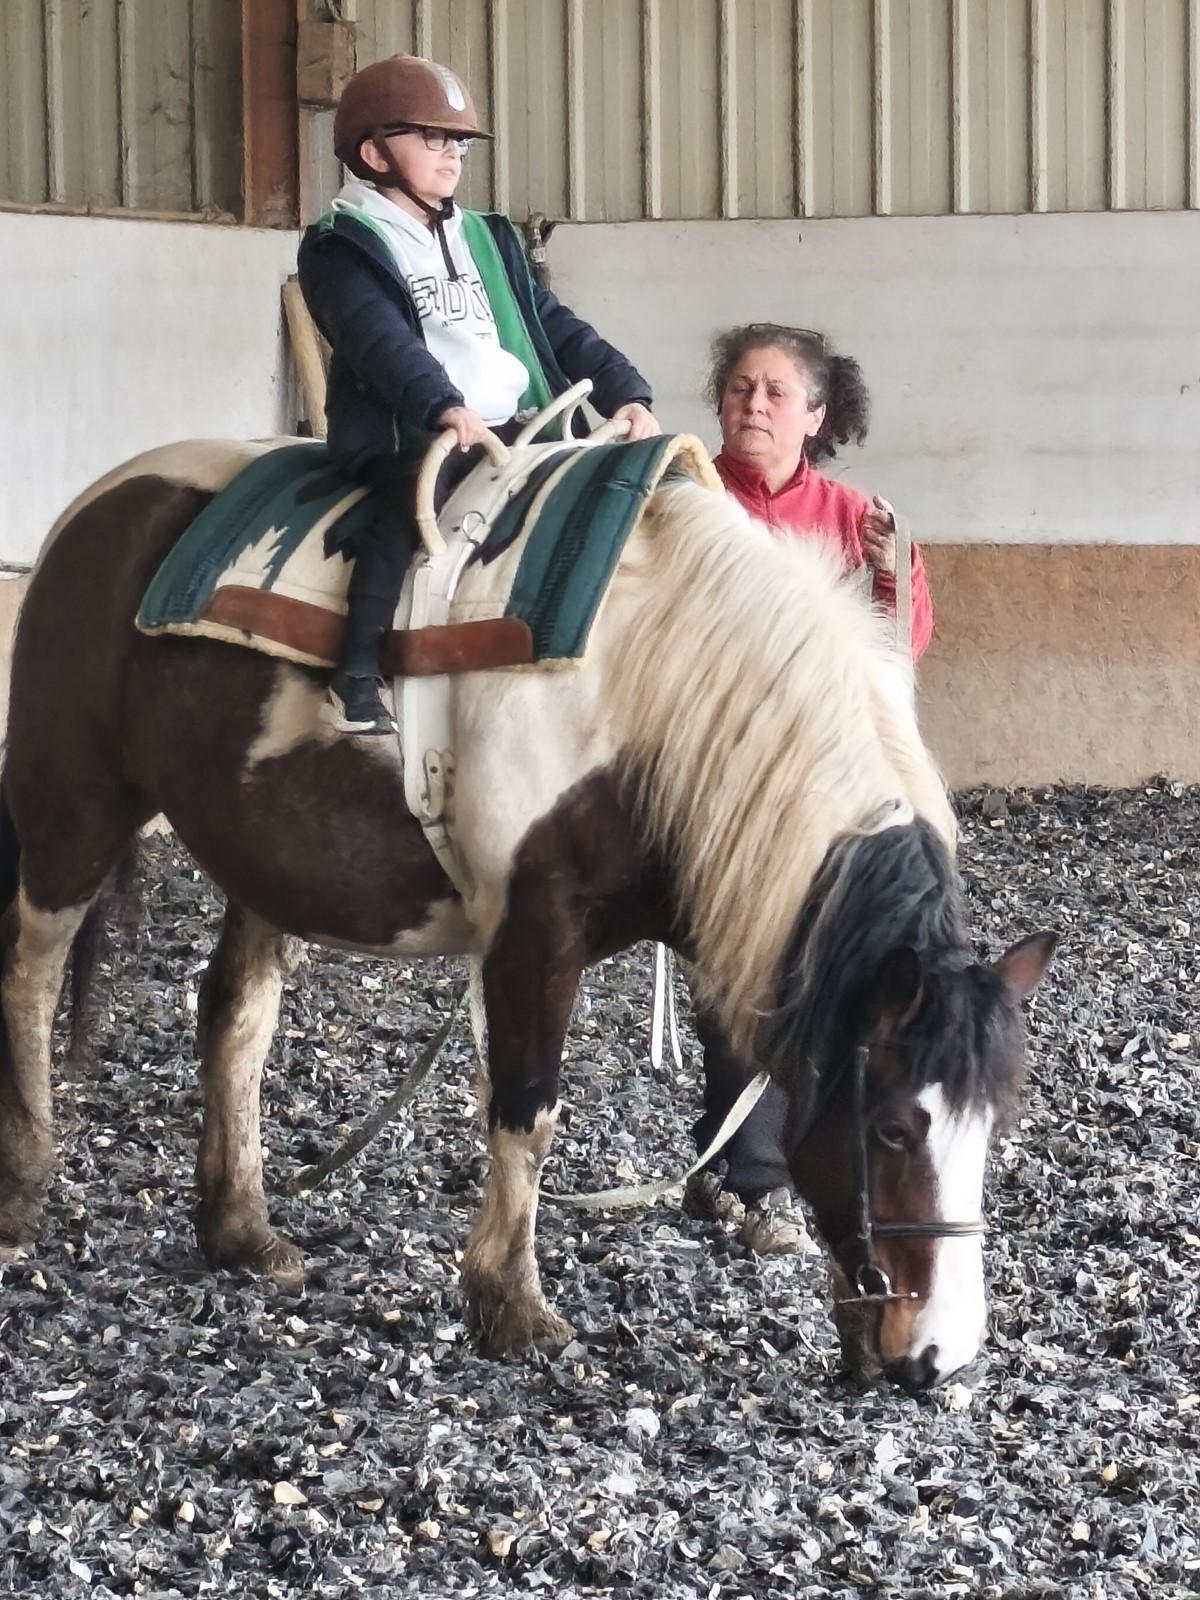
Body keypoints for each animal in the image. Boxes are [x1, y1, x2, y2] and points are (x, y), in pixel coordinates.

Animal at [0, 437, 1054, 1388]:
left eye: (993, 1129)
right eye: (895, 1130)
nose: (938, 1358)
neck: (652, 693)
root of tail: (94, 508)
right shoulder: (534, 932)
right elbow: (528, 1110)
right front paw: (510, 1302)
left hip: (258, 856)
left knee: (233, 1017)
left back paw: (241, 1229)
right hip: (73, 808)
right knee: (30, 975)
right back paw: (26, 1188)